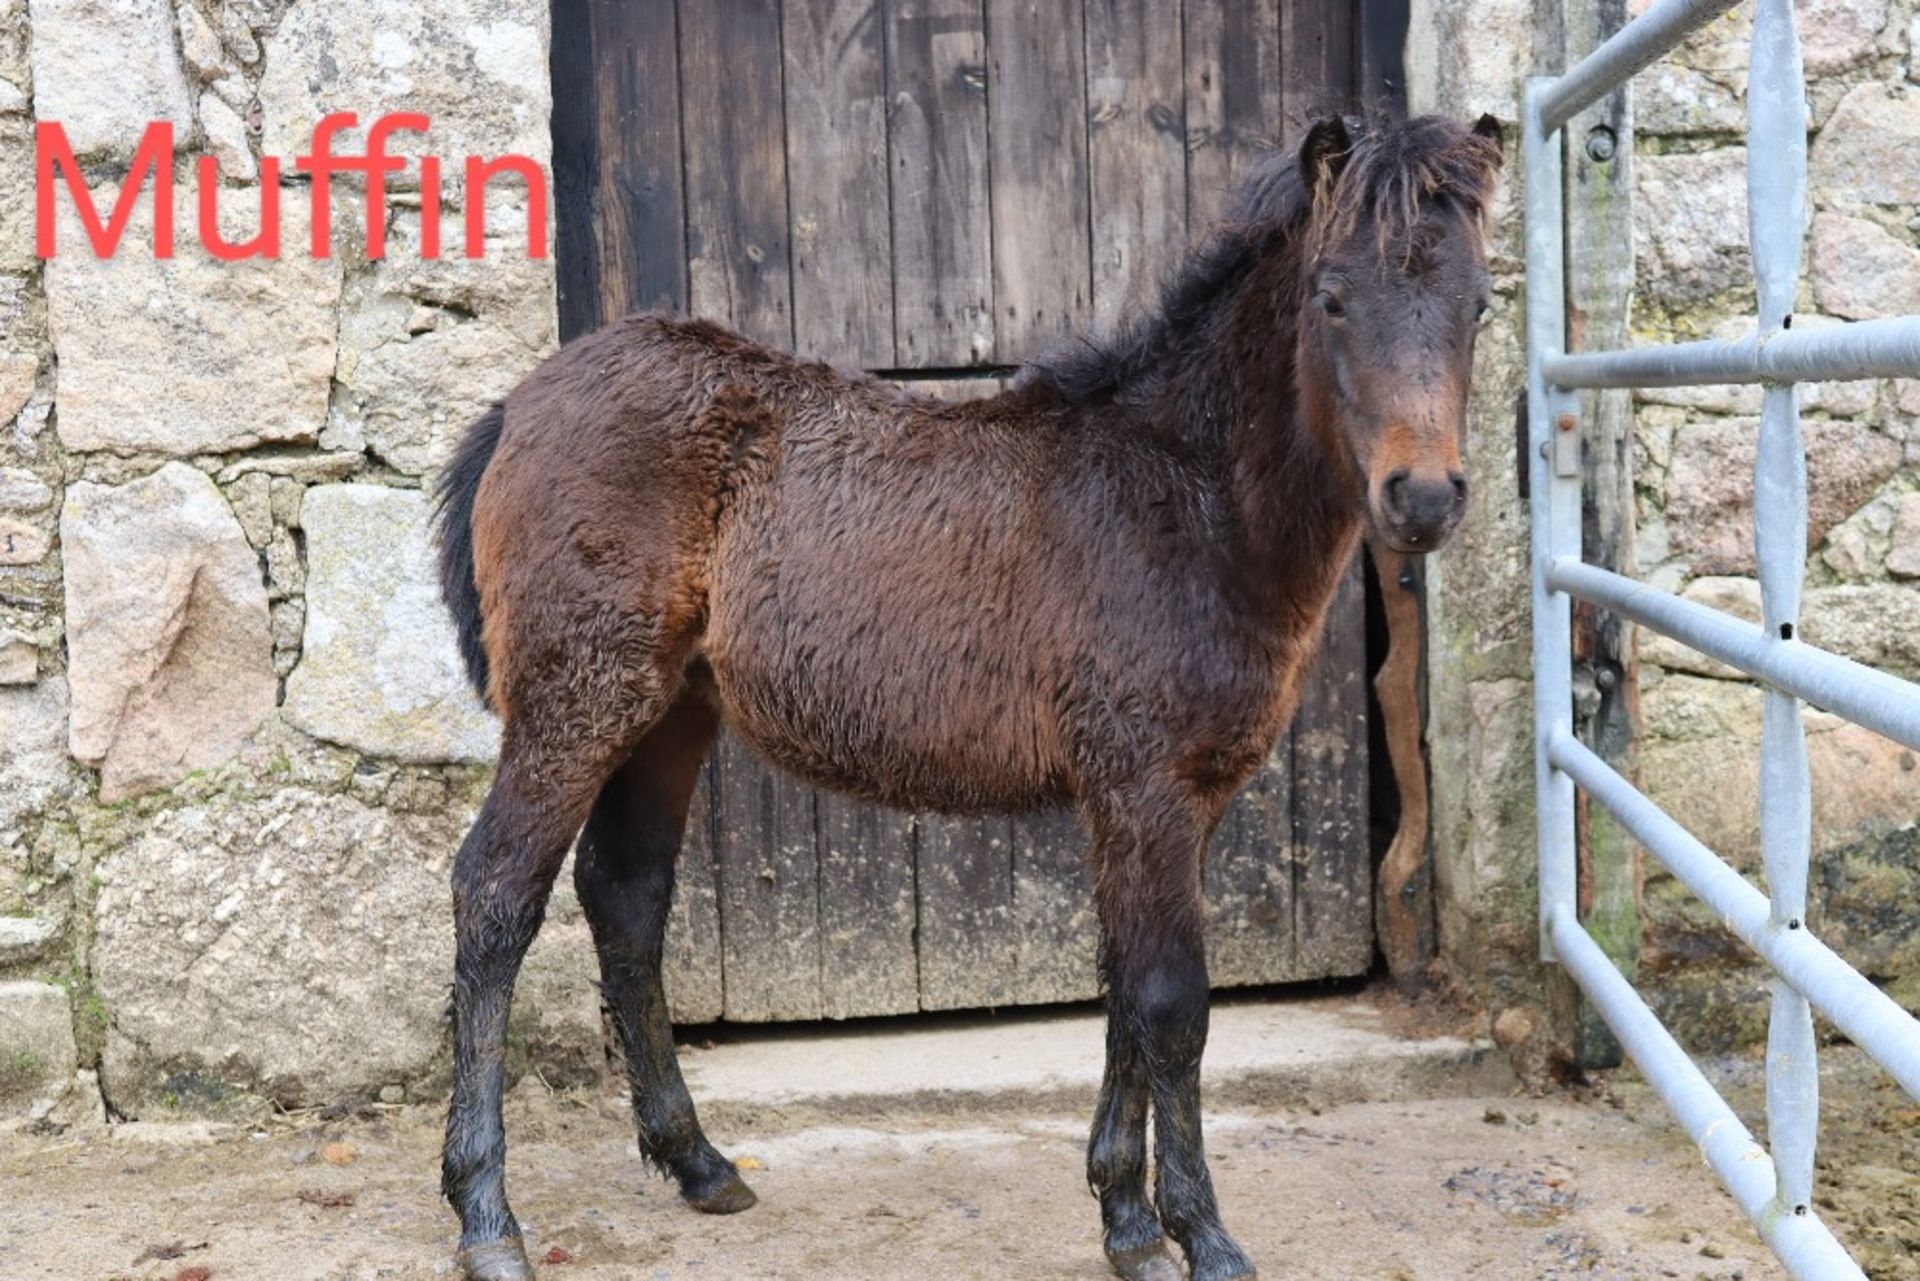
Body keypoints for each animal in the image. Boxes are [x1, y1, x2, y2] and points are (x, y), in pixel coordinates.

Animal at [432, 115, 1497, 1275]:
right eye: (1331, 297)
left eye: (1482, 303)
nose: (1423, 498)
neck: (1185, 496)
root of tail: (522, 399)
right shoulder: (1147, 791)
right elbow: (1173, 1007)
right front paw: (1204, 1235)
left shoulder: (1163, 804)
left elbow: (1126, 988)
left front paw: (1126, 1218)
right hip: (579, 700)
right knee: (496, 894)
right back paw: (487, 1217)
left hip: (672, 713)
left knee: (626, 897)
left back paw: (701, 1163)